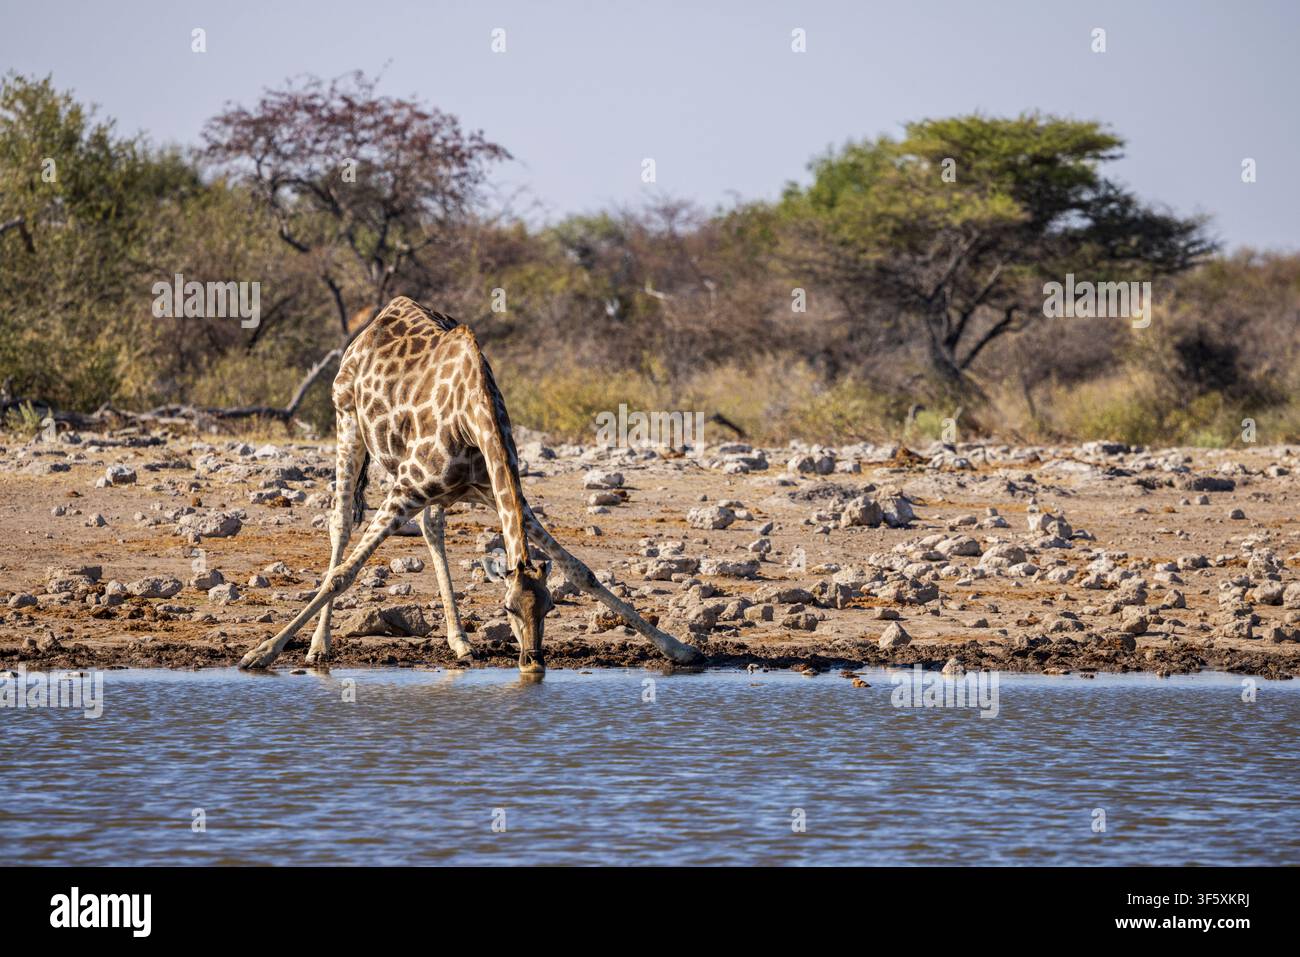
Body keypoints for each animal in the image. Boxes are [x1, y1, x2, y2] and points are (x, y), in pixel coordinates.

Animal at [237, 296, 703, 673]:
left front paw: (679, 649)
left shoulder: (497, 493)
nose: (533, 661)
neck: (474, 416)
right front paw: (260, 653)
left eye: (549, 606)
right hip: (347, 421)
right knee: (340, 524)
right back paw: (319, 646)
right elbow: (343, 575)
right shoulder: (404, 489)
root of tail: (377, 319)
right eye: (507, 608)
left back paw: (460, 642)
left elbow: (581, 570)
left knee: (432, 529)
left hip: (434, 490)